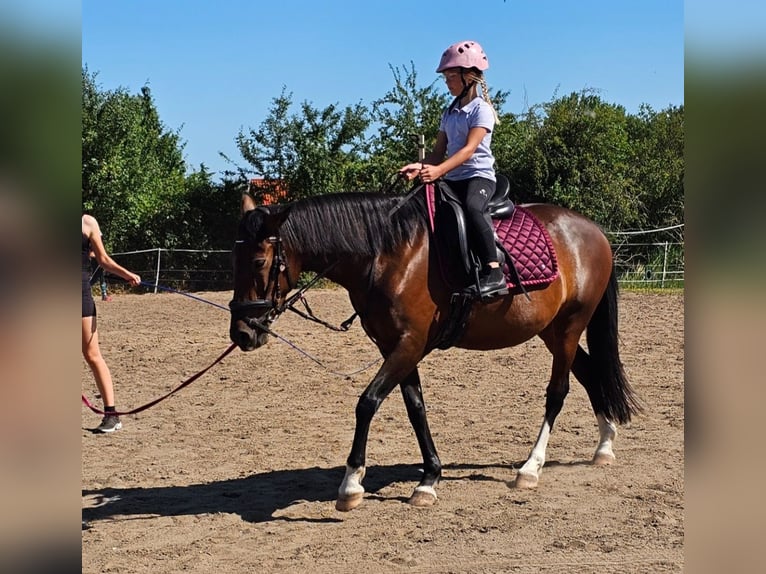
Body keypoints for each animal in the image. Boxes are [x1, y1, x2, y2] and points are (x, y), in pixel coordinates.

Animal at [229, 188, 641, 511]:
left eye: (259, 261)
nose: (242, 334)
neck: (389, 253)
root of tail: (593, 230)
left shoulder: (409, 344)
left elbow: (367, 403)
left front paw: (351, 484)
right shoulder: (395, 347)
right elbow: (416, 408)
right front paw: (429, 479)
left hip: (570, 326)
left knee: (558, 392)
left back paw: (530, 468)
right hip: (553, 331)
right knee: (590, 374)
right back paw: (604, 446)